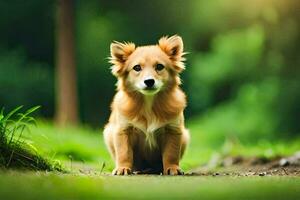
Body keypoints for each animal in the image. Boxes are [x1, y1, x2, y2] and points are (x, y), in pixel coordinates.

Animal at [104, 35, 189, 176]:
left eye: (159, 66)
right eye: (137, 68)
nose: (149, 81)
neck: (148, 103)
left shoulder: (173, 130)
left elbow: (171, 153)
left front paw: (172, 168)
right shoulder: (123, 130)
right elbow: (124, 152)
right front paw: (122, 168)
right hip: (108, 133)